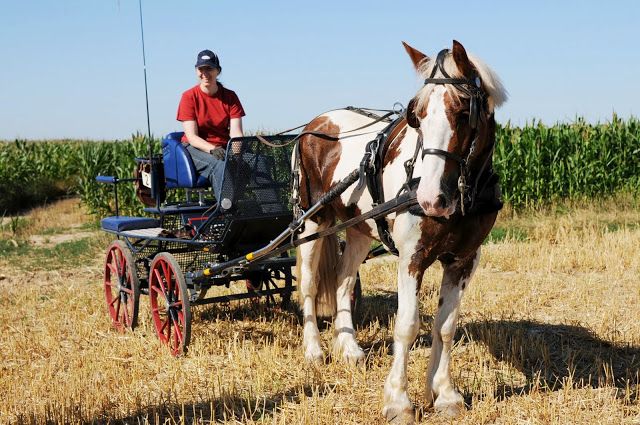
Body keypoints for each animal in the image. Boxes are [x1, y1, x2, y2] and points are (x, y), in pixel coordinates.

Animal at [292, 40, 508, 420]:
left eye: (462, 112)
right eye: (416, 116)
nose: (431, 198)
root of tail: (314, 124)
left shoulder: (464, 260)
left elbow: (446, 326)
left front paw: (444, 394)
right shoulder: (412, 257)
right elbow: (407, 325)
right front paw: (398, 400)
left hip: (360, 229)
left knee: (343, 280)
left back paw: (349, 348)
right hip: (311, 222)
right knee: (308, 285)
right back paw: (314, 350)